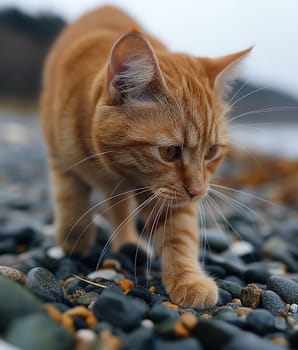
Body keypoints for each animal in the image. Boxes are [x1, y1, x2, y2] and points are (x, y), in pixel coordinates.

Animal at [40, 4, 250, 306]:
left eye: (211, 151)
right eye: (169, 151)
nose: (198, 192)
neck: (116, 169)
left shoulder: (171, 199)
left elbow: (178, 234)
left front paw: (189, 279)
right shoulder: (60, 159)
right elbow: (71, 200)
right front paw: (74, 241)